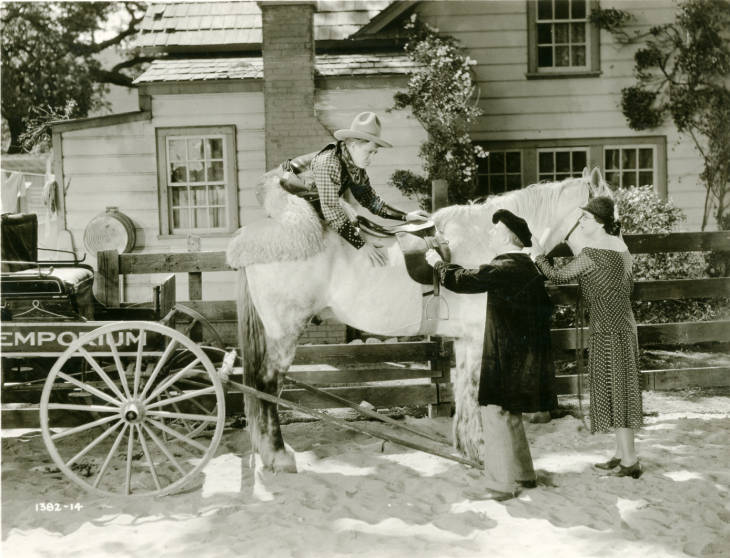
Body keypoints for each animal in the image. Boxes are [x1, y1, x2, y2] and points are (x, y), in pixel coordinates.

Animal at [226, 167, 608, 472]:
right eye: (609, 218)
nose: (617, 259)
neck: (485, 242)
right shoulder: (477, 337)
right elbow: (472, 391)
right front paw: (481, 453)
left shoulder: (465, 340)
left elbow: (462, 392)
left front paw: (468, 450)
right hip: (284, 332)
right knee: (266, 385)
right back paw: (278, 456)